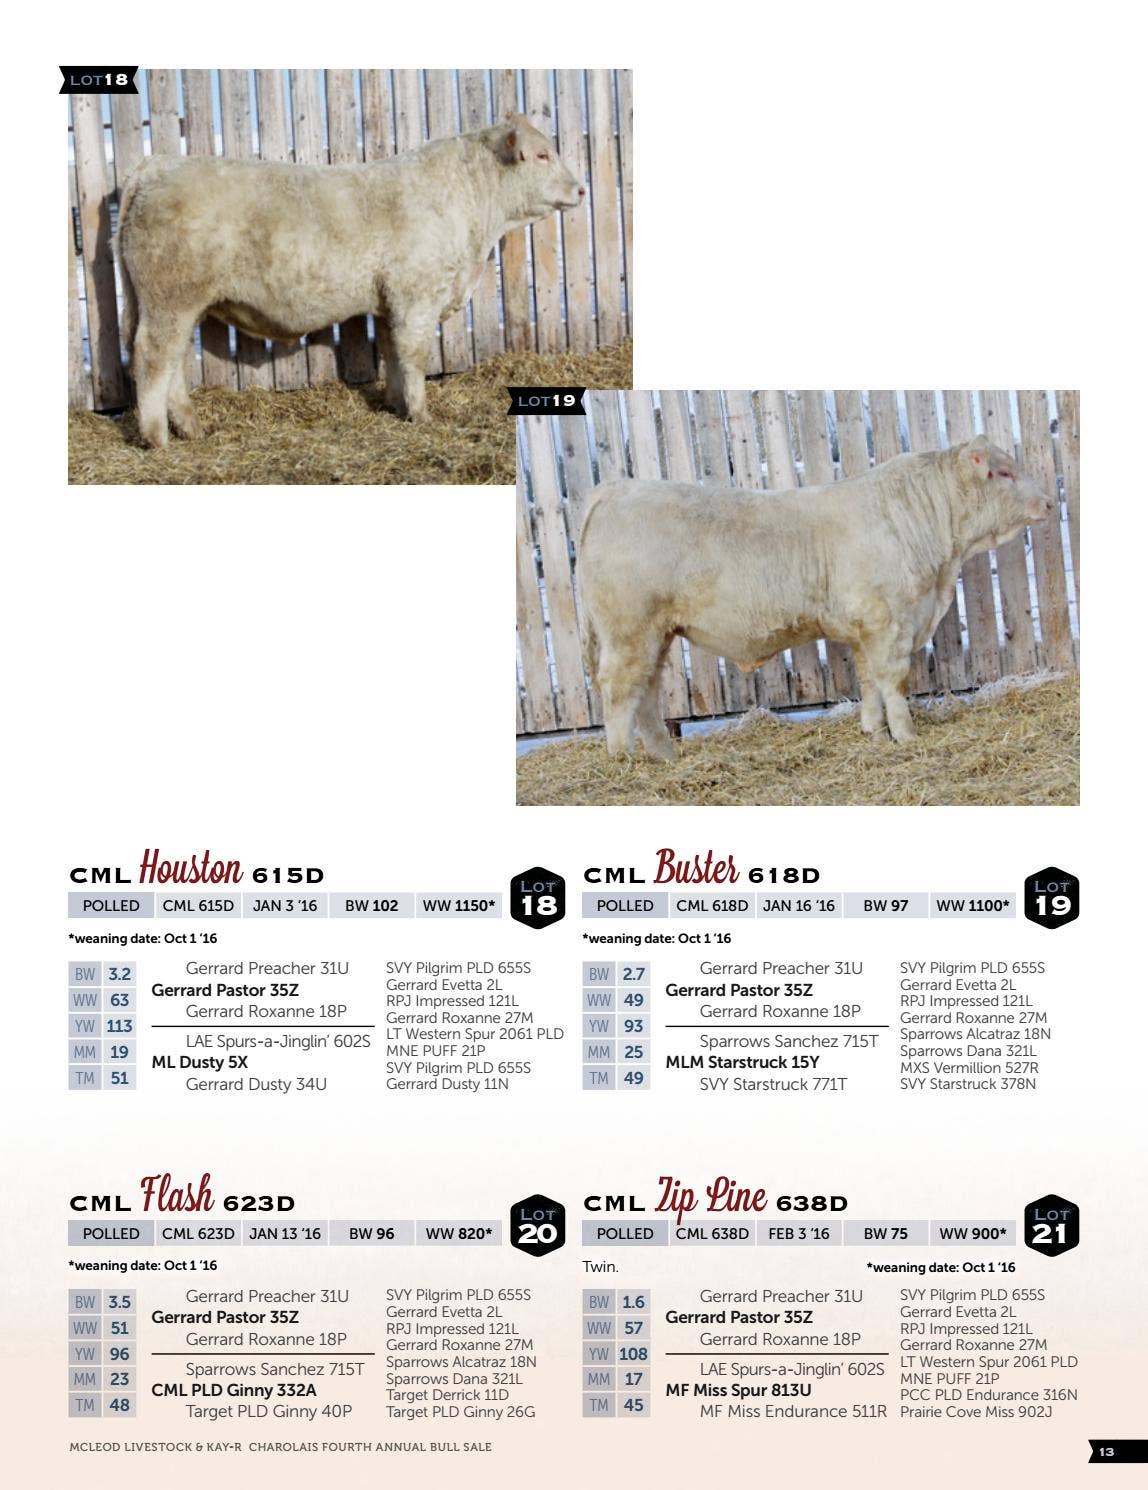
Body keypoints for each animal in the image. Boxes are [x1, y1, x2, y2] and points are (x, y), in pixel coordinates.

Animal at [115, 115, 584, 447]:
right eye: (542, 155)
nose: (580, 189)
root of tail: (160, 163)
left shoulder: (391, 301)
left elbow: (392, 353)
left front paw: (396, 405)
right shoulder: (416, 295)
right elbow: (414, 355)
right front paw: (422, 415)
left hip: (177, 302)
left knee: (173, 361)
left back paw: (190, 428)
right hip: (171, 296)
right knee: (153, 357)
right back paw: (157, 438)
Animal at [576, 436, 1054, 756]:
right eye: (1005, 472)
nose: (1049, 502)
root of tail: (615, 488)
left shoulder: (864, 628)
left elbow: (868, 681)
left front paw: (873, 731)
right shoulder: (888, 621)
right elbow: (893, 681)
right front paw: (905, 735)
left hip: (655, 634)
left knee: (646, 690)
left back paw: (663, 756)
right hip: (629, 630)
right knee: (619, 689)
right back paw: (623, 759)